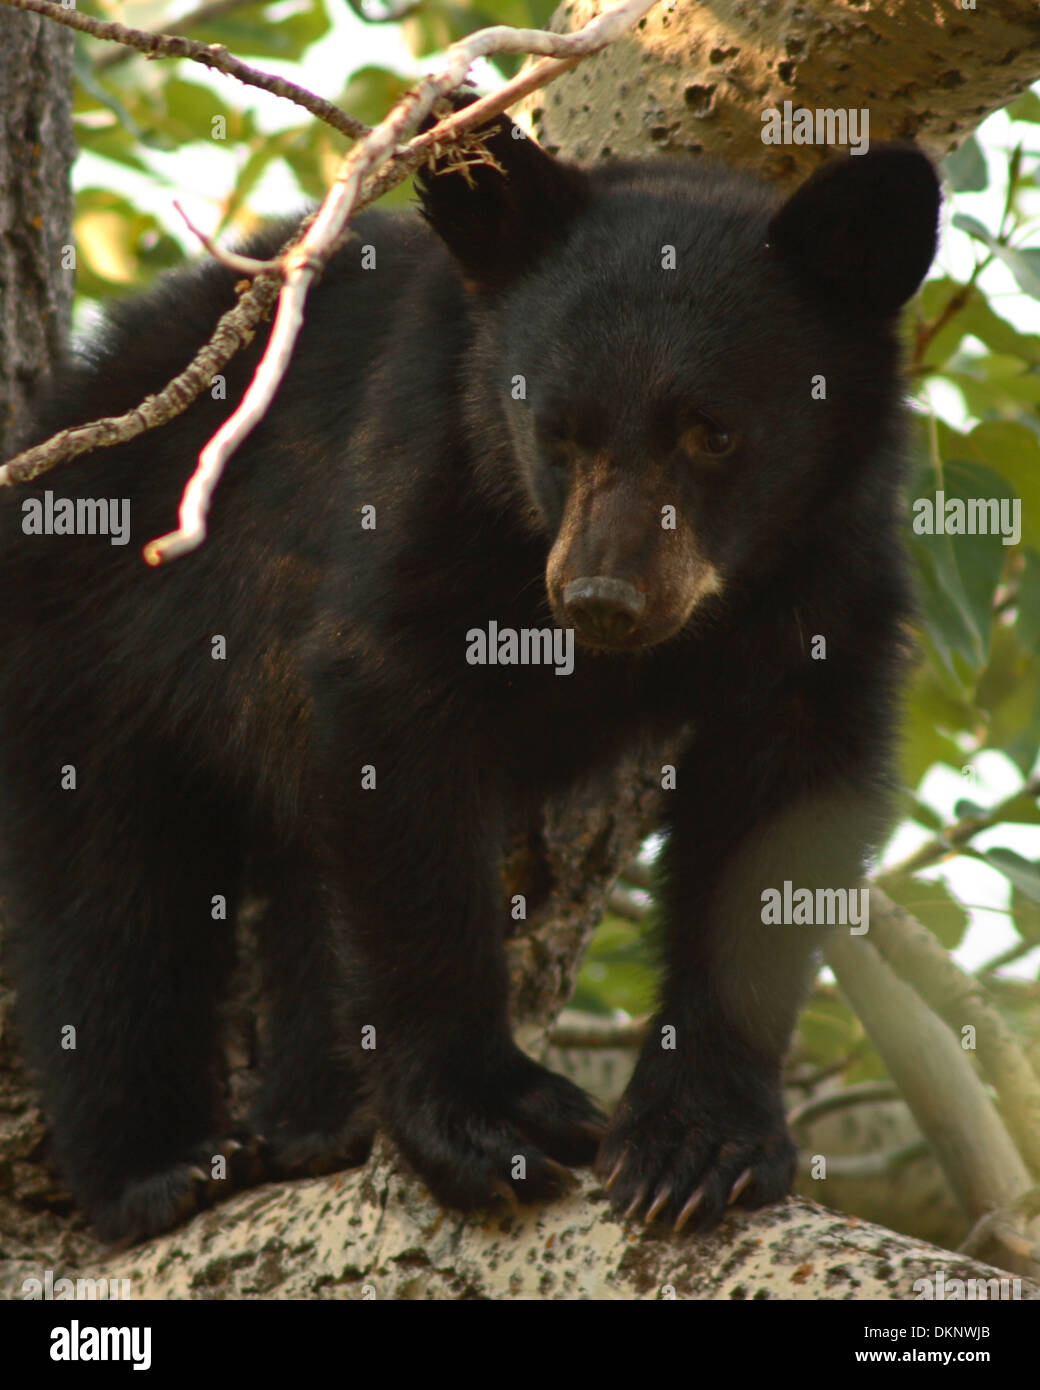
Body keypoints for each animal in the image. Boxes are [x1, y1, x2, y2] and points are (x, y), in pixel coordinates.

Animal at [0, 107, 940, 1244]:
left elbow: (781, 812)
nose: (601, 598)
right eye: (557, 428)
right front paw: (484, 1117)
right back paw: (159, 1167)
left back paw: (316, 1122)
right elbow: (395, 735)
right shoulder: (423, 479)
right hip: (84, 642)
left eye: (713, 432)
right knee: (108, 889)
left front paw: (698, 1145)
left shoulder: (829, 569)